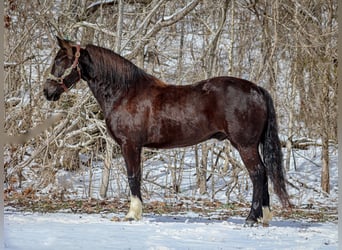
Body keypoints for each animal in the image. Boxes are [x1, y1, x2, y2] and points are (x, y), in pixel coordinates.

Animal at [42, 37, 290, 227]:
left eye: (61, 61)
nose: (47, 91)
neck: (125, 92)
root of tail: (257, 89)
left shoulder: (130, 145)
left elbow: (133, 177)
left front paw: (132, 214)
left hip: (245, 145)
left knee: (258, 174)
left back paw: (251, 218)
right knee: (264, 174)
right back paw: (264, 217)